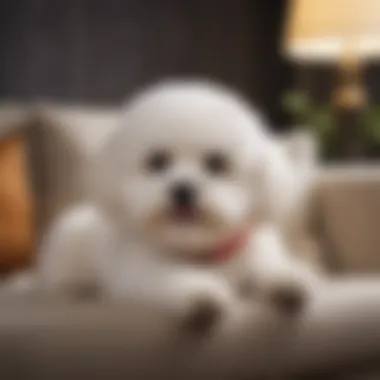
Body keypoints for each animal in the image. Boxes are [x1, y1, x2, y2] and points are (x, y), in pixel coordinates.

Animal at [28, 81, 318, 332]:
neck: (202, 251)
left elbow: (270, 269)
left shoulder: (255, 253)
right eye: (157, 161)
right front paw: (201, 296)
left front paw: (288, 284)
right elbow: (173, 278)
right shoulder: (140, 273)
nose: (183, 189)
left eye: (216, 163)